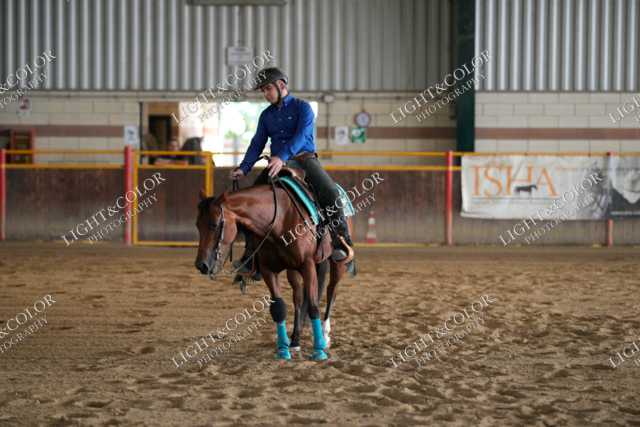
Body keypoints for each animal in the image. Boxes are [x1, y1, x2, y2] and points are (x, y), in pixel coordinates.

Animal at [194, 173, 354, 361]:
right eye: (197, 225)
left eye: (214, 224)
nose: (201, 265)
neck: (281, 220)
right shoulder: (268, 271)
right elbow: (279, 308)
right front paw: (283, 350)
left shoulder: (307, 265)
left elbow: (314, 307)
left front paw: (319, 350)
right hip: (295, 270)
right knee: (299, 298)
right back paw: (295, 340)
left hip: (337, 264)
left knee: (331, 291)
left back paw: (325, 334)